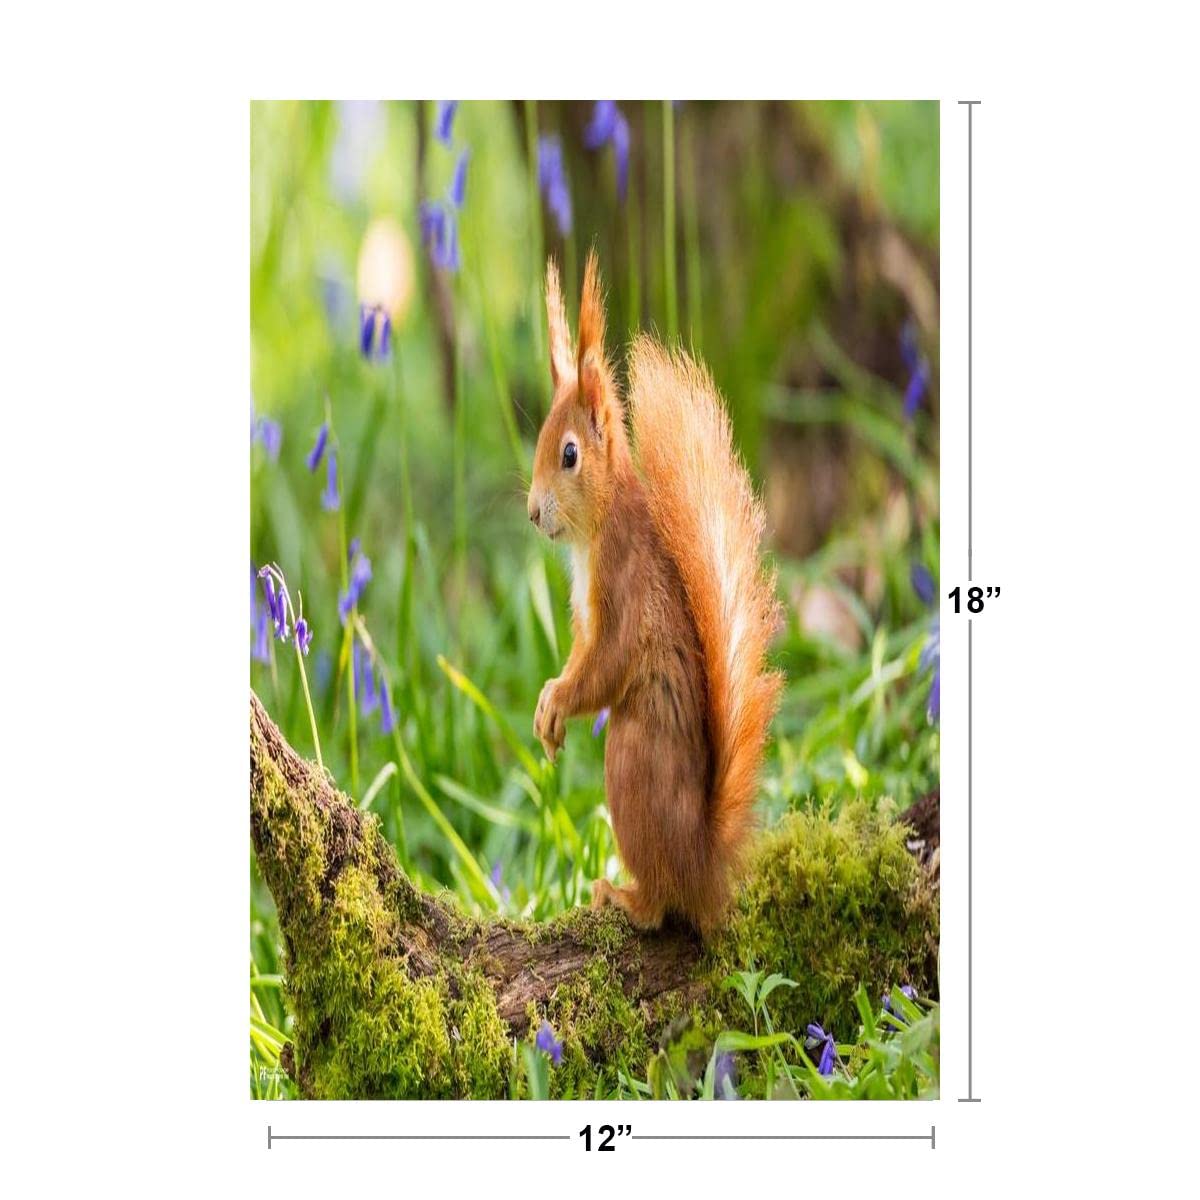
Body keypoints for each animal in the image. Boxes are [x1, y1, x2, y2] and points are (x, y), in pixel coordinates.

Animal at [527, 252, 782, 935]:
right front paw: (546, 701)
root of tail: (703, 864)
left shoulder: (621, 581)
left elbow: (607, 662)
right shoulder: (583, 613)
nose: (533, 513)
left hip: (630, 761)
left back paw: (626, 897)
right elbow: (580, 652)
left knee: (663, 902)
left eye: (569, 454)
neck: (598, 524)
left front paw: (558, 701)